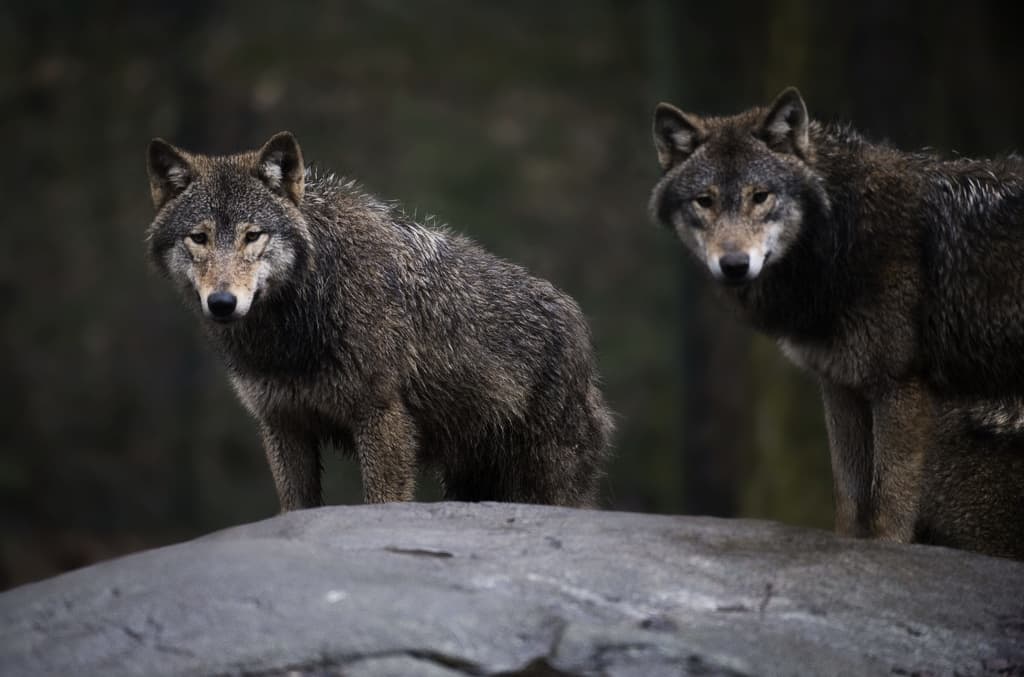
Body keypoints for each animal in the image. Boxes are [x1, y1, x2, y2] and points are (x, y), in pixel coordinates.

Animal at [146, 132, 613, 510]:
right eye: (199, 238)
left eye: (252, 235)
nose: (223, 303)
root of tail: (578, 322)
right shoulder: (283, 424)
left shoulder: (382, 418)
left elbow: (382, 501)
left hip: (542, 480)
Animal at [648, 87, 1024, 557]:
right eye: (705, 200)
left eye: (761, 196)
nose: (734, 265)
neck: (840, 237)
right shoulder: (839, 386)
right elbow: (849, 502)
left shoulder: (899, 387)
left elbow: (889, 506)